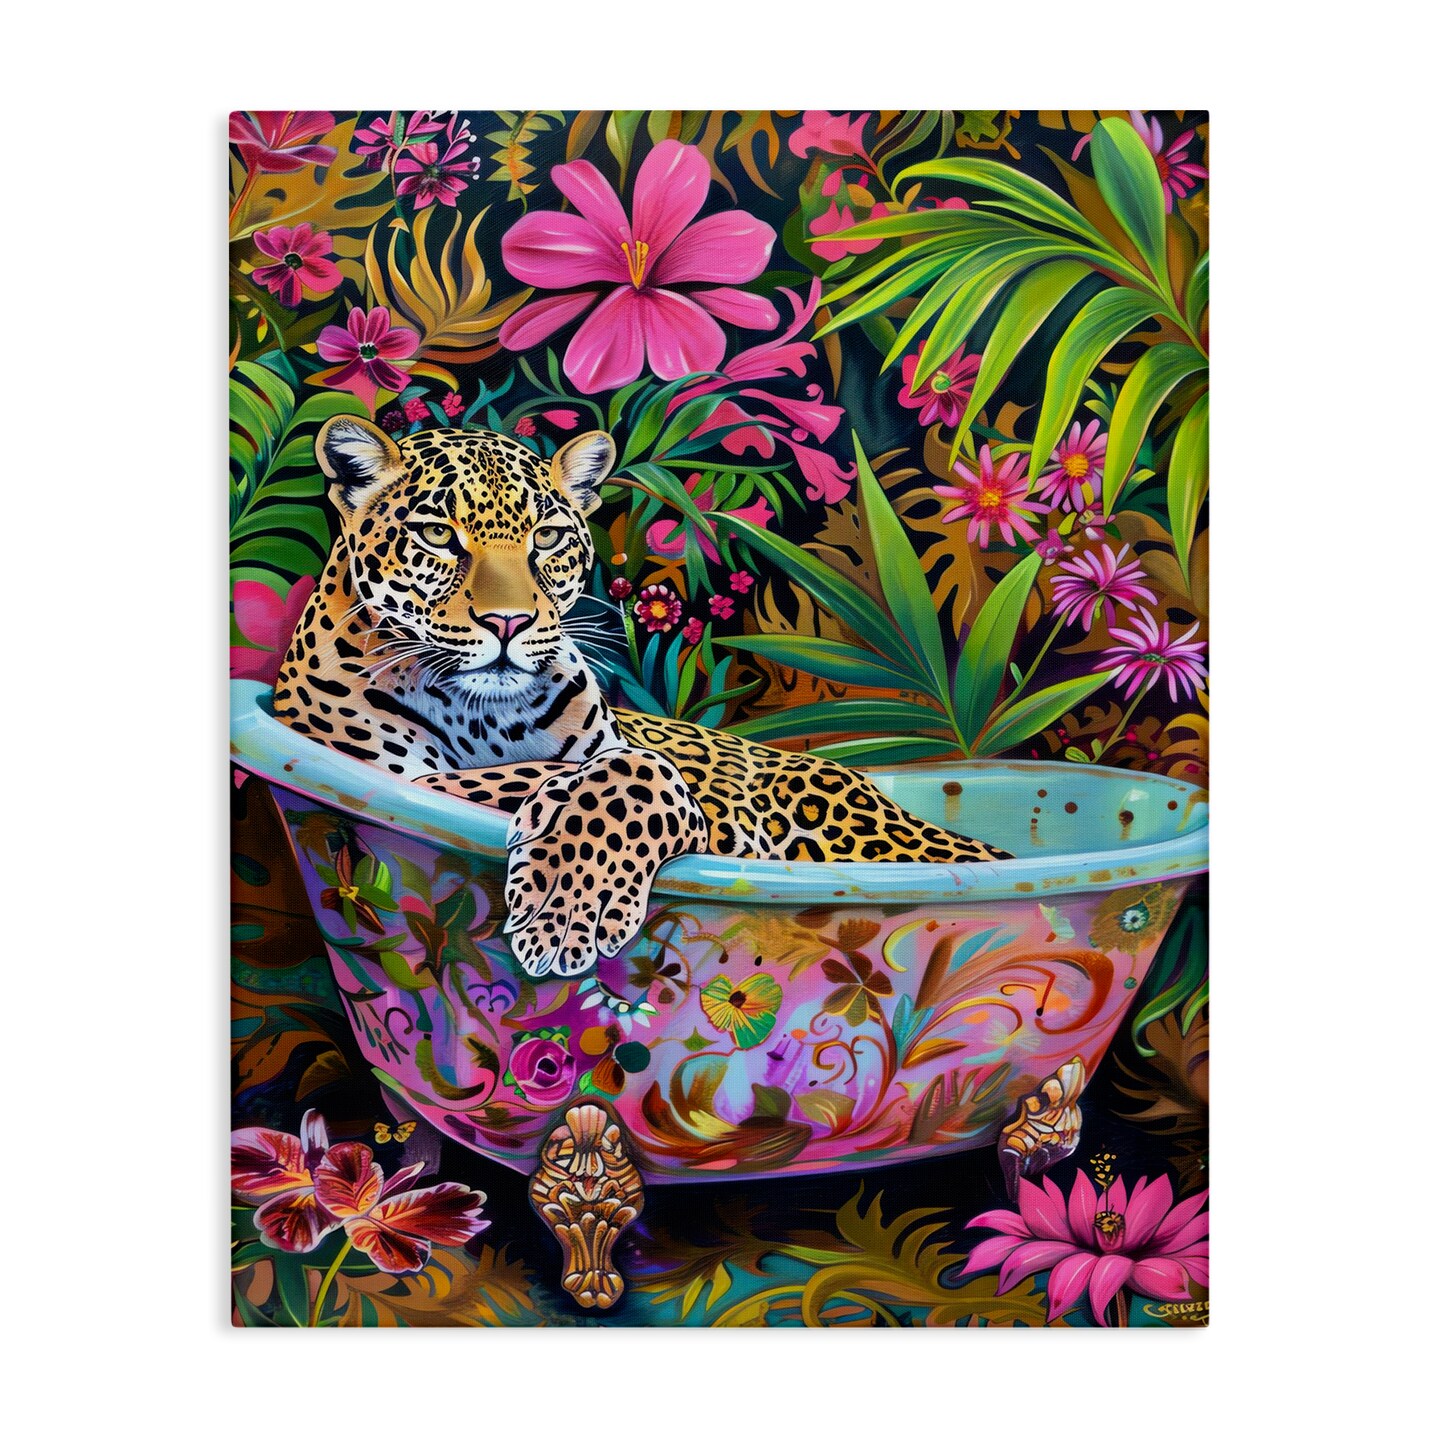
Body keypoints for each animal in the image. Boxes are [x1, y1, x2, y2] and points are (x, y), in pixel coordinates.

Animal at [274, 416, 1012, 979]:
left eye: (546, 537)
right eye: (436, 535)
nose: (509, 623)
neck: (482, 715)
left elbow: (631, 770)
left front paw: (567, 900)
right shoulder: (386, 773)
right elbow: (535, 776)